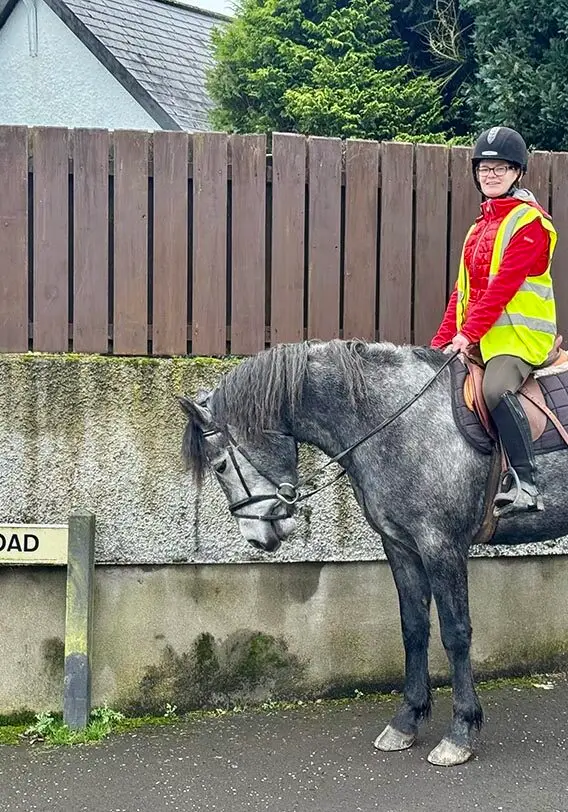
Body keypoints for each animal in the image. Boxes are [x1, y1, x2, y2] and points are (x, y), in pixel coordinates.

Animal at [179, 339, 568, 767]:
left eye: (218, 465)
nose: (256, 537)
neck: (398, 417)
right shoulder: (401, 546)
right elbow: (413, 628)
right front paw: (406, 721)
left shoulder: (441, 545)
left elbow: (455, 633)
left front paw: (460, 732)